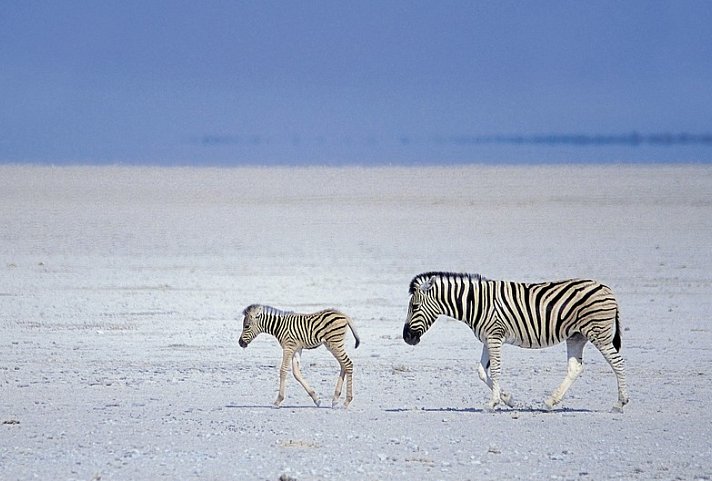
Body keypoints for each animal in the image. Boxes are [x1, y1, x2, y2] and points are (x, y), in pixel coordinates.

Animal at [404, 270, 632, 408]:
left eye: (414, 307)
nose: (407, 338)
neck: (476, 303)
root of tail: (608, 289)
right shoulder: (488, 338)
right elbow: (481, 371)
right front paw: (508, 399)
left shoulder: (494, 336)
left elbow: (495, 370)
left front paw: (493, 403)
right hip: (576, 336)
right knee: (575, 368)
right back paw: (550, 402)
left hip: (598, 333)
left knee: (618, 362)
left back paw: (620, 403)